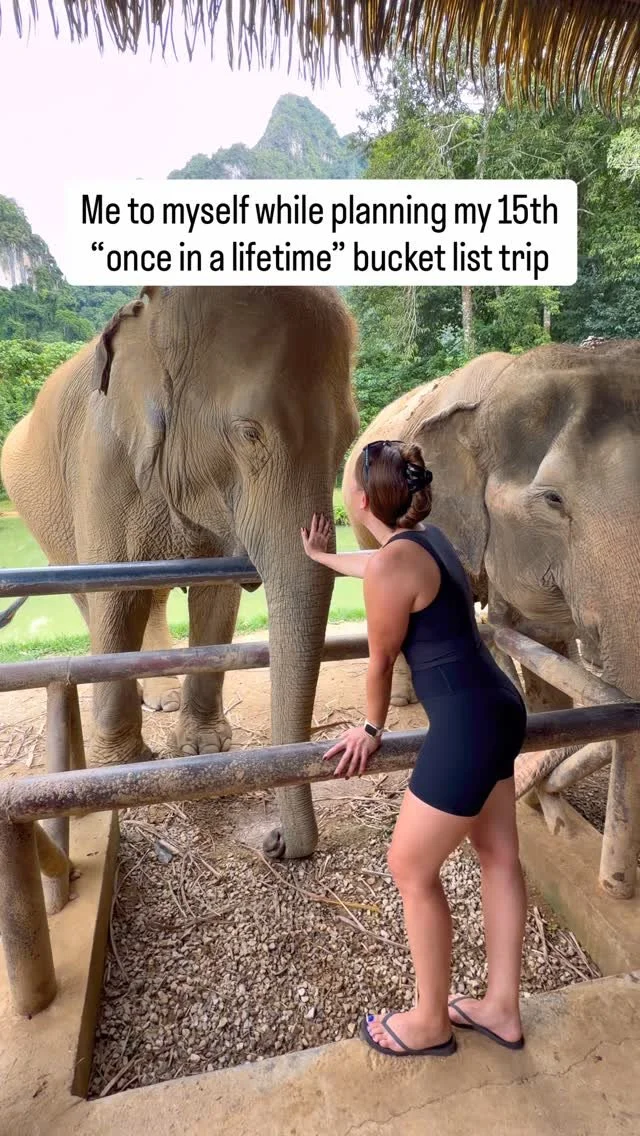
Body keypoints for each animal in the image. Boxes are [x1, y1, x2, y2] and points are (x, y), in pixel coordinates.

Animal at [1, 285, 359, 859]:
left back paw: (163, 696)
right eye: (249, 434)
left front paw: (203, 747)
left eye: (350, 436)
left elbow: (215, 599)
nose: (276, 841)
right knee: (94, 594)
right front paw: (124, 769)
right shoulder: (102, 461)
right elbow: (116, 597)